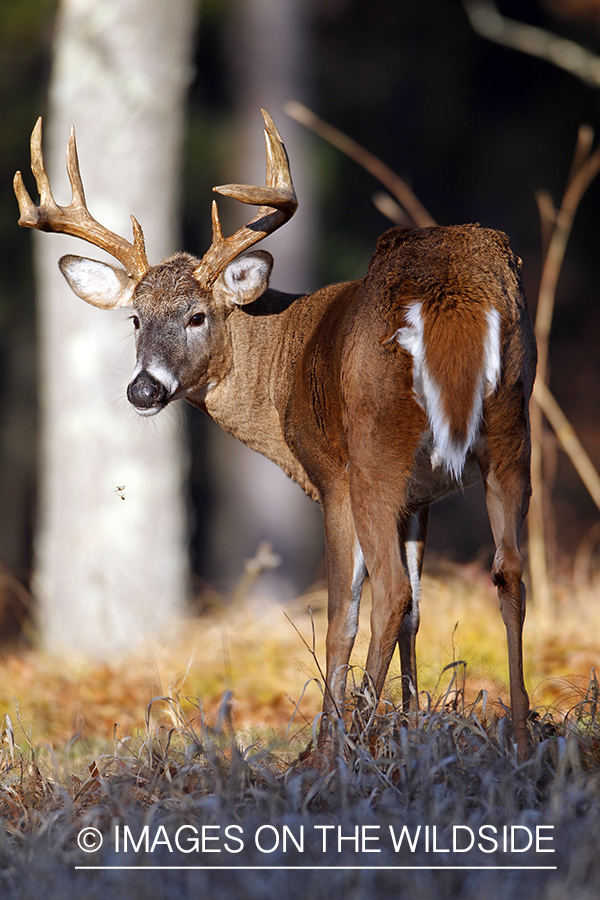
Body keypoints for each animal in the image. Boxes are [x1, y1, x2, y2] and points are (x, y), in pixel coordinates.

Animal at [16, 110, 536, 760]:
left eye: (197, 316)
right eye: (135, 318)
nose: (144, 389)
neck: (284, 357)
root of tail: (452, 294)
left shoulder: (332, 477)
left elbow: (346, 612)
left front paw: (333, 743)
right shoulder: (423, 497)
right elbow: (419, 612)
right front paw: (413, 726)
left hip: (375, 450)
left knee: (387, 593)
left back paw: (349, 743)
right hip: (512, 429)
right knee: (508, 572)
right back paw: (522, 738)